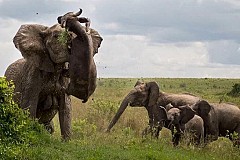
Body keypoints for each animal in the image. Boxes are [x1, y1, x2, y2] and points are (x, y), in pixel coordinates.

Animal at [4, 8, 102, 139]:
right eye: (56, 36)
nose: (61, 18)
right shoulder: (32, 75)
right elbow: (29, 106)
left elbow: (66, 108)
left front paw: (67, 141)